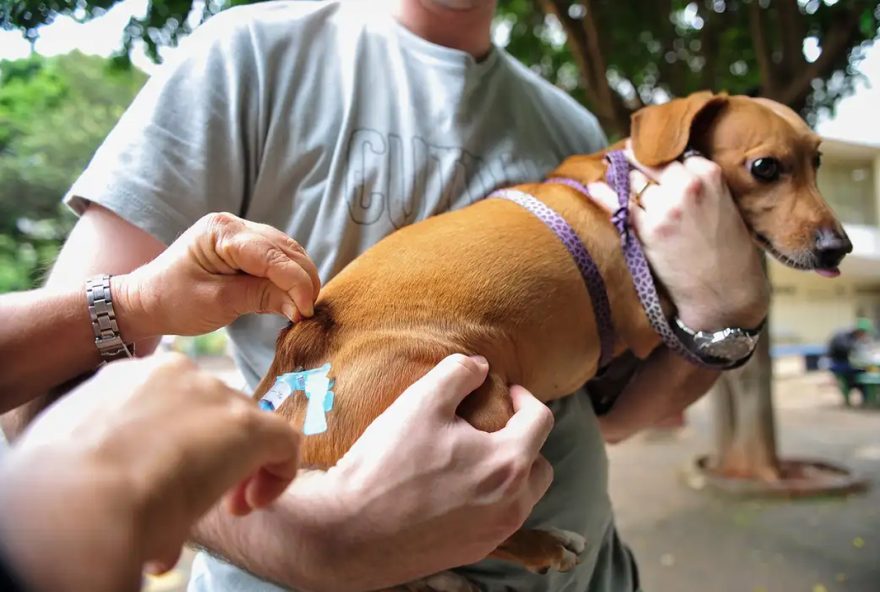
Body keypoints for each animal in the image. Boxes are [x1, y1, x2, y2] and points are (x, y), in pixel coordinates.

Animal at [251, 91, 848, 584]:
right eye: (765, 167)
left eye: (818, 161)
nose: (838, 247)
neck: (623, 185)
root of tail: (301, 352)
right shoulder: (649, 323)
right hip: (484, 406)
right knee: (468, 536)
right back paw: (542, 546)